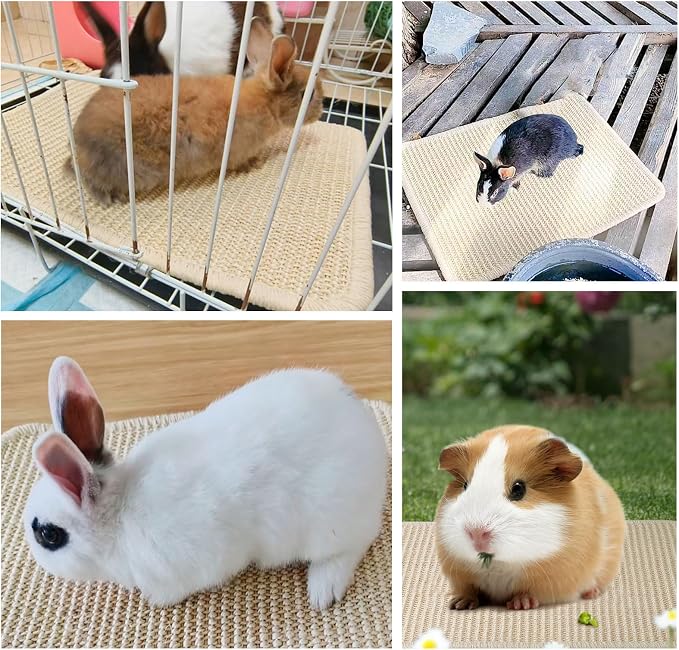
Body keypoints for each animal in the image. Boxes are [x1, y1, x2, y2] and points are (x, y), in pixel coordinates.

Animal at [23, 356, 387, 608]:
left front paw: (156, 600)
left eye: (49, 535)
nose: (34, 556)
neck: (118, 519)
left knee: (355, 544)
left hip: (328, 524)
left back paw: (323, 591)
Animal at [67, 17, 324, 205]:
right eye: (308, 95)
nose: (320, 112)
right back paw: (110, 198)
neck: (266, 102)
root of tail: (78, 143)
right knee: (92, 181)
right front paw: (254, 164)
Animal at [435, 425, 625, 610]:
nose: (476, 533)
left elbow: (529, 592)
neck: (499, 565)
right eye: (465, 485)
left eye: (519, 489)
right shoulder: (461, 574)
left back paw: (591, 593)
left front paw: (520, 604)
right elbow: (469, 590)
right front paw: (459, 604)